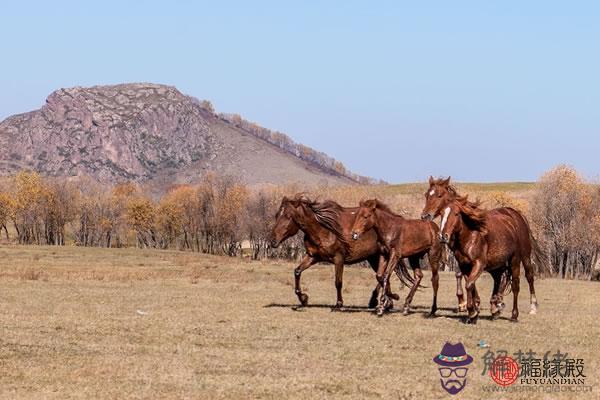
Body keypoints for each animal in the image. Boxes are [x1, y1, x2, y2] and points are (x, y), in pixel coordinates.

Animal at [270, 194, 414, 310]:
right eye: (277, 215)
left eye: (288, 216)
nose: (273, 241)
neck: (324, 229)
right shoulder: (313, 257)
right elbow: (297, 271)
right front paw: (303, 299)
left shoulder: (338, 258)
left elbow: (338, 282)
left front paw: (339, 304)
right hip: (373, 258)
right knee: (383, 277)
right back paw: (385, 302)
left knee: (383, 277)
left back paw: (382, 301)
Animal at [422, 177, 544, 324]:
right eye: (427, 195)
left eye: (439, 195)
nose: (425, 216)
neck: (470, 234)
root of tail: (515, 214)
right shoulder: (464, 264)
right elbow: (469, 283)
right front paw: (474, 309)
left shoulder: (479, 263)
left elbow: (469, 284)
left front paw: (472, 310)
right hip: (497, 263)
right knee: (499, 278)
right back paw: (496, 306)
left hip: (520, 258)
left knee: (522, 280)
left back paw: (524, 310)